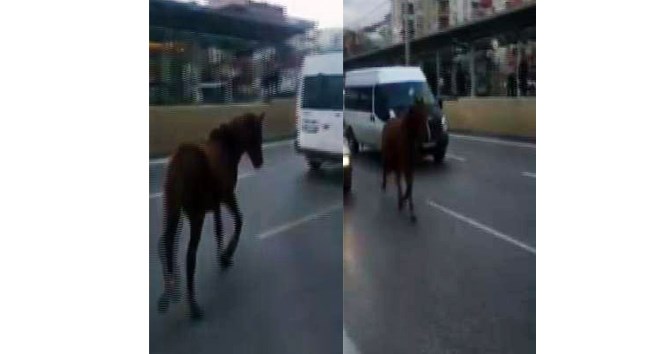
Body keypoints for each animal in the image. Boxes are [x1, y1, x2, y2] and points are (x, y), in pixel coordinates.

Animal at [158, 112, 264, 318]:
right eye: (257, 134)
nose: (259, 162)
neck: (230, 150)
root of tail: (178, 165)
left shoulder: (215, 204)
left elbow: (218, 229)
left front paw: (222, 257)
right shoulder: (227, 195)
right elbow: (239, 220)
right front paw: (227, 254)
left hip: (174, 210)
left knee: (166, 244)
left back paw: (169, 293)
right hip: (196, 215)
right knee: (190, 254)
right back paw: (193, 304)